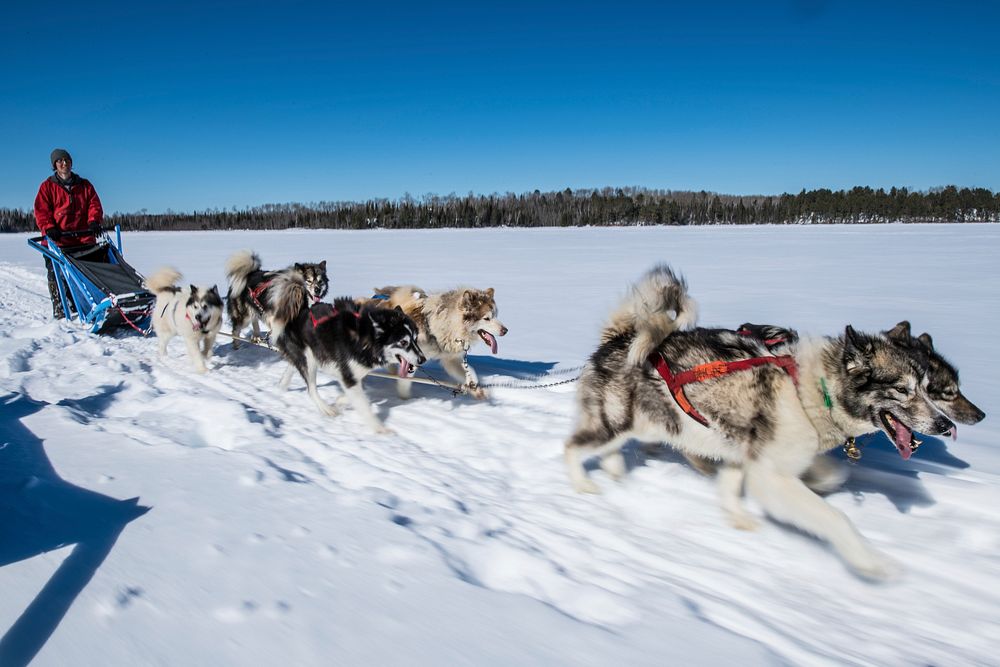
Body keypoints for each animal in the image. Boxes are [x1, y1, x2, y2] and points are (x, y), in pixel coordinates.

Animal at [268, 272, 424, 434]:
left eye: (415, 339)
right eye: (403, 342)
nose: (422, 359)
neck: (365, 336)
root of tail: (300, 311)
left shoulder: (353, 374)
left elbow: (355, 392)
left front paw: (340, 400)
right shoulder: (348, 375)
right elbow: (363, 405)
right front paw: (379, 428)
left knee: (292, 367)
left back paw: (281, 387)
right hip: (309, 360)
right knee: (311, 389)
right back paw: (326, 409)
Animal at [368, 284, 508, 400]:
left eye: (496, 315)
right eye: (487, 318)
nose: (505, 330)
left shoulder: (451, 360)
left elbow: (470, 372)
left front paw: (475, 389)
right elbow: (405, 381)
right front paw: (405, 399)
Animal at [568, 264, 956, 580]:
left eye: (927, 387)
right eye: (903, 389)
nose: (944, 426)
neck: (812, 389)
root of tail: (619, 338)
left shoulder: (743, 455)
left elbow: (735, 486)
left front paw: (739, 517)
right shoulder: (770, 476)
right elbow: (835, 519)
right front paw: (870, 563)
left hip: (642, 424)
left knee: (609, 451)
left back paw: (617, 476)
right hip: (614, 423)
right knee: (571, 447)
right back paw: (583, 484)